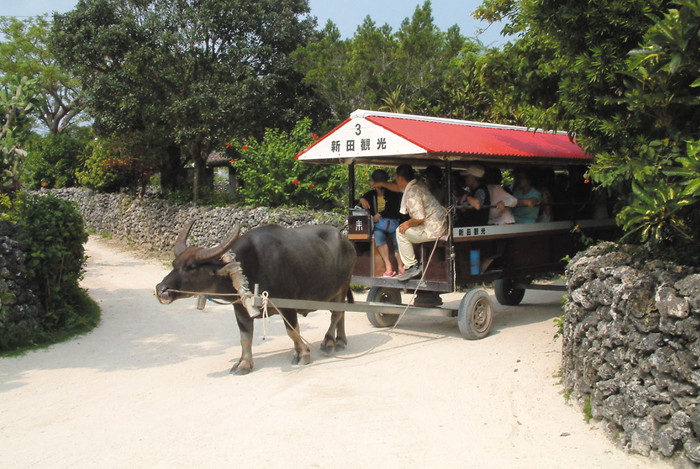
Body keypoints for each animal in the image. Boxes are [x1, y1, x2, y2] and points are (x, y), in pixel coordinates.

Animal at [155, 222, 352, 372]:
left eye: (191, 267)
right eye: (174, 263)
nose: (161, 289)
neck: (249, 267)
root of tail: (346, 241)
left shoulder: (287, 305)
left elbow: (292, 331)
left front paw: (303, 354)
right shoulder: (240, 308)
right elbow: (245, 336)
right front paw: (243, 364)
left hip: (342, 287)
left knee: (336, 314)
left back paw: (329, 341)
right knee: (341, 313)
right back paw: (340, 341)